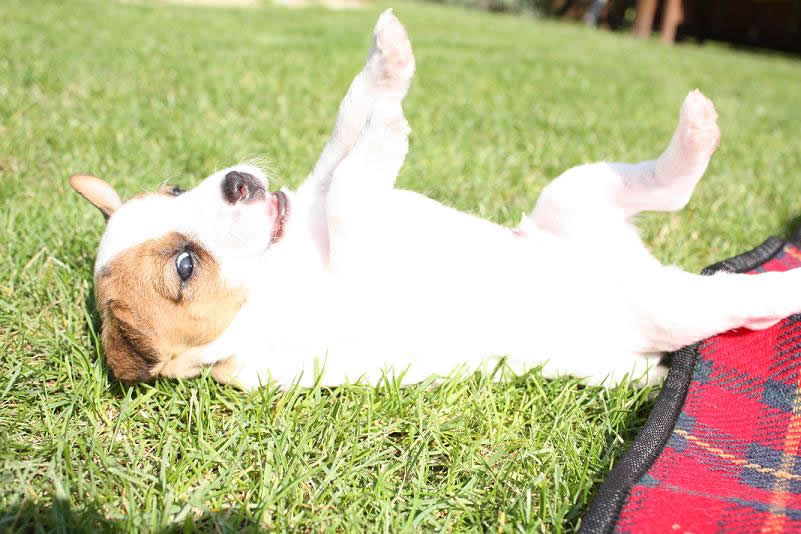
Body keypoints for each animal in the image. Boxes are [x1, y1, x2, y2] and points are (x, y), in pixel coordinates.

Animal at [69, 10, 800, 392]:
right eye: (185, 267)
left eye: (175, 186)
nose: (238, 182)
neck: (287, 266)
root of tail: (630, 263)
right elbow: (353, 181)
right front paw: (391, 123)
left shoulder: (314, 190)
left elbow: (343, 132)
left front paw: (386, 63)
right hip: (664, 303)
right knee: (740, 294)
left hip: (574, 191)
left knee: (669, 186)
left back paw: (697, 130)